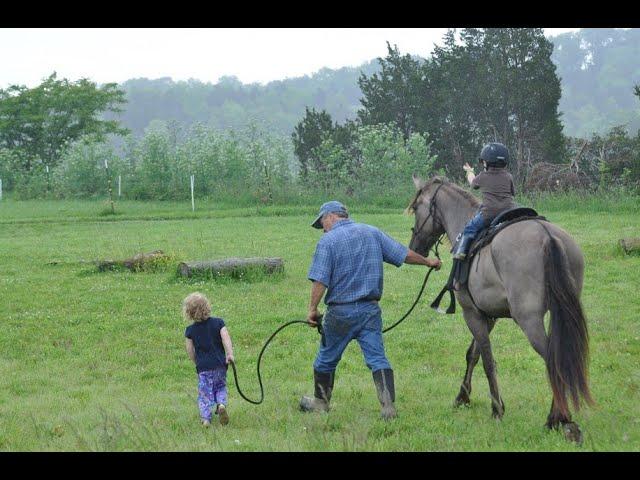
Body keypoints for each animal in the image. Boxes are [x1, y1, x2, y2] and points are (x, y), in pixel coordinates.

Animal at [408, 176, 592, 442]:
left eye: (416, 208)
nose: (414, 247)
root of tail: (548, 236)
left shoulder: (471, 313)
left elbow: (486, 360)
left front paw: (497, 408)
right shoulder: (488, 316)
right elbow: (473, 354)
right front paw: (463, 397)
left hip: (529, 321)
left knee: (552, 359)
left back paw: (559, 419)